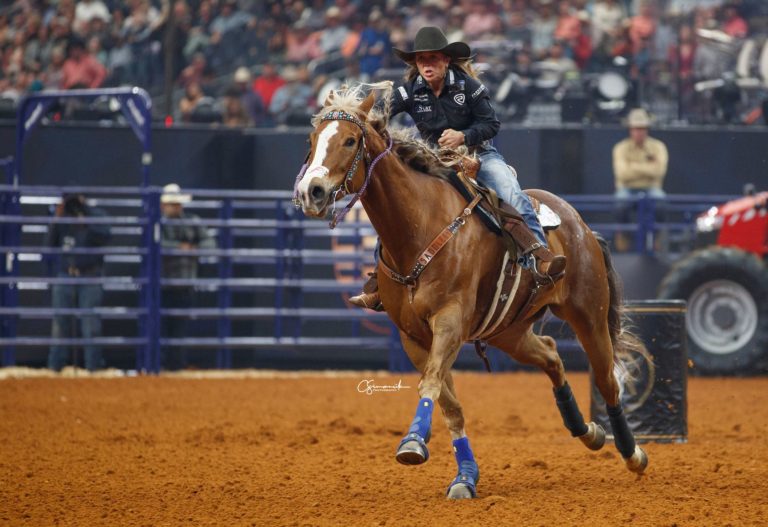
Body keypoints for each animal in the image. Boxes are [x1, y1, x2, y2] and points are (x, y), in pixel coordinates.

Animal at [294, 84, 648, 502]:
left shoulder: (450, 321)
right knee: (550, 354)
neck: (419, 226)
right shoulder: (414, 336)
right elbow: (450, 405)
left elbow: (431, 383)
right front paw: (464, 476)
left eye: (350, 140)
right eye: (312, 140)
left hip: (589, 315)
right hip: (509, 331)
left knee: (608, 380)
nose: (311, 191)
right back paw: (587, 430)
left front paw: (412, 443)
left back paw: (631, 452)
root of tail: (580, 225)